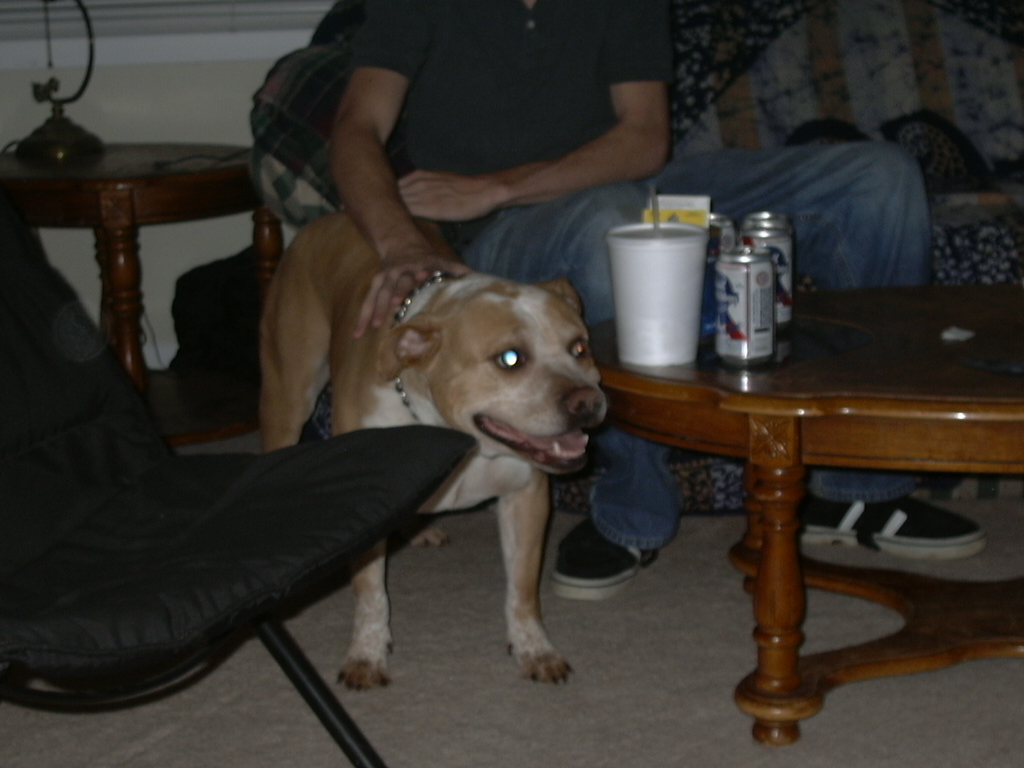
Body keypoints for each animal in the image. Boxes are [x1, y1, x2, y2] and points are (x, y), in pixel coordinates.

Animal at [259, 212, 607, 690]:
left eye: (580, 348)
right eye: (510, 359)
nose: (587, 402)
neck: (455, 433)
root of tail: (332, 216)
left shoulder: (526, 498)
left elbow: (522, 590)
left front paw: (535, 648)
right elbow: (371, 594)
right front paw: (366, 654)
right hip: (289, 399)